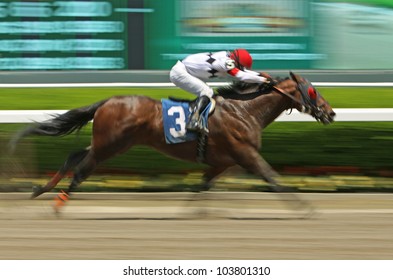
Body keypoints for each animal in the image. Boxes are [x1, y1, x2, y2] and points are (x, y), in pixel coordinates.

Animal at [9, 71, 334, 210]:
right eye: (313, 91)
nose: (331, 112)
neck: (244, 110)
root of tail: (107, 101)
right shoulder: (246, 155)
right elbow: (273, 178)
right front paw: (303, 207)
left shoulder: (222, 162)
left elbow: (202, 187)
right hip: (109, 146)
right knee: (81, 169)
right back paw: (59, 202)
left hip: (108, 143)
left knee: (73, 157)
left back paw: (40, 189)